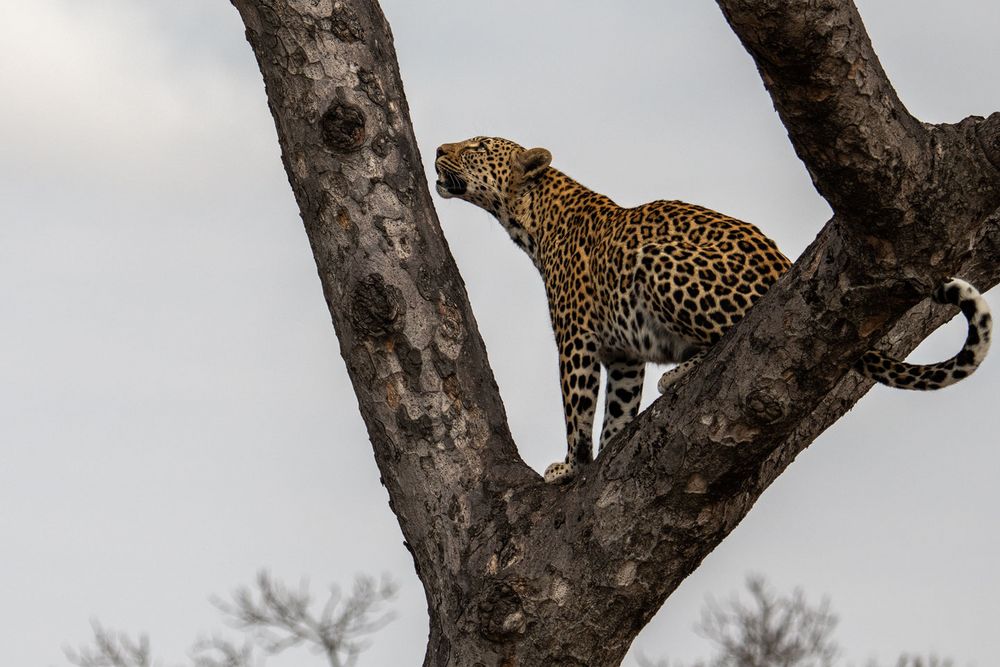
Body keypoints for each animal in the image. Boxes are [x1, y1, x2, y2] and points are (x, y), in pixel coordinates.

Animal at [432, 136, 992, 482]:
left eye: (478, 146)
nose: (438, 148)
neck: (530, 218)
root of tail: (783, 265)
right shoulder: (623, 356)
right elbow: (618, 408)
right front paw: (609, 448)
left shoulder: (576, 340)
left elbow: (577, 407)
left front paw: (570, 467)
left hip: (657, 260)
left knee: (740, 329)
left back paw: (682, 372)